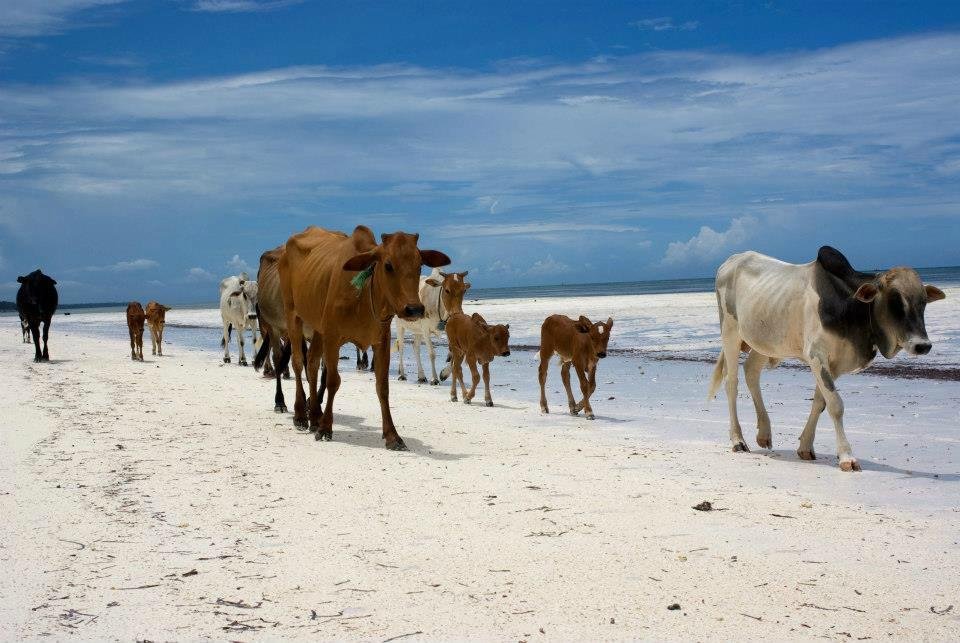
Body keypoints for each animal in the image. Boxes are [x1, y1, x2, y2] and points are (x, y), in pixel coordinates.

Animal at [278, 225, 450, 448]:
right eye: (388, 265)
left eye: (420, 265)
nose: (414, 309)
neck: (365, 294)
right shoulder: (332, 337)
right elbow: (333, 381)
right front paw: (326, 428)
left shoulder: (381, 342)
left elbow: (382, 387)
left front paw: (392, 435)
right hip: (293, 314)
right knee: (299, 362)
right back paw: (300, 415)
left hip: (318, 328)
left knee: (313, 364)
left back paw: (315, 417)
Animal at [708, 247, 940, 472]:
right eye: (895, 301)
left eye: (923, 302)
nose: (923, 345)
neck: (849, 306)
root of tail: (731, 260)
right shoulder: (816, 356)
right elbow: (836, 405)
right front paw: (846, 457)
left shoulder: (833, 366)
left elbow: (820, 402)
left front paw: (805, 447)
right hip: (730, 333)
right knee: (731, 383)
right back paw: (738, 440)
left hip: (764, 342)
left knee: (751, 371)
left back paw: (764, 434)